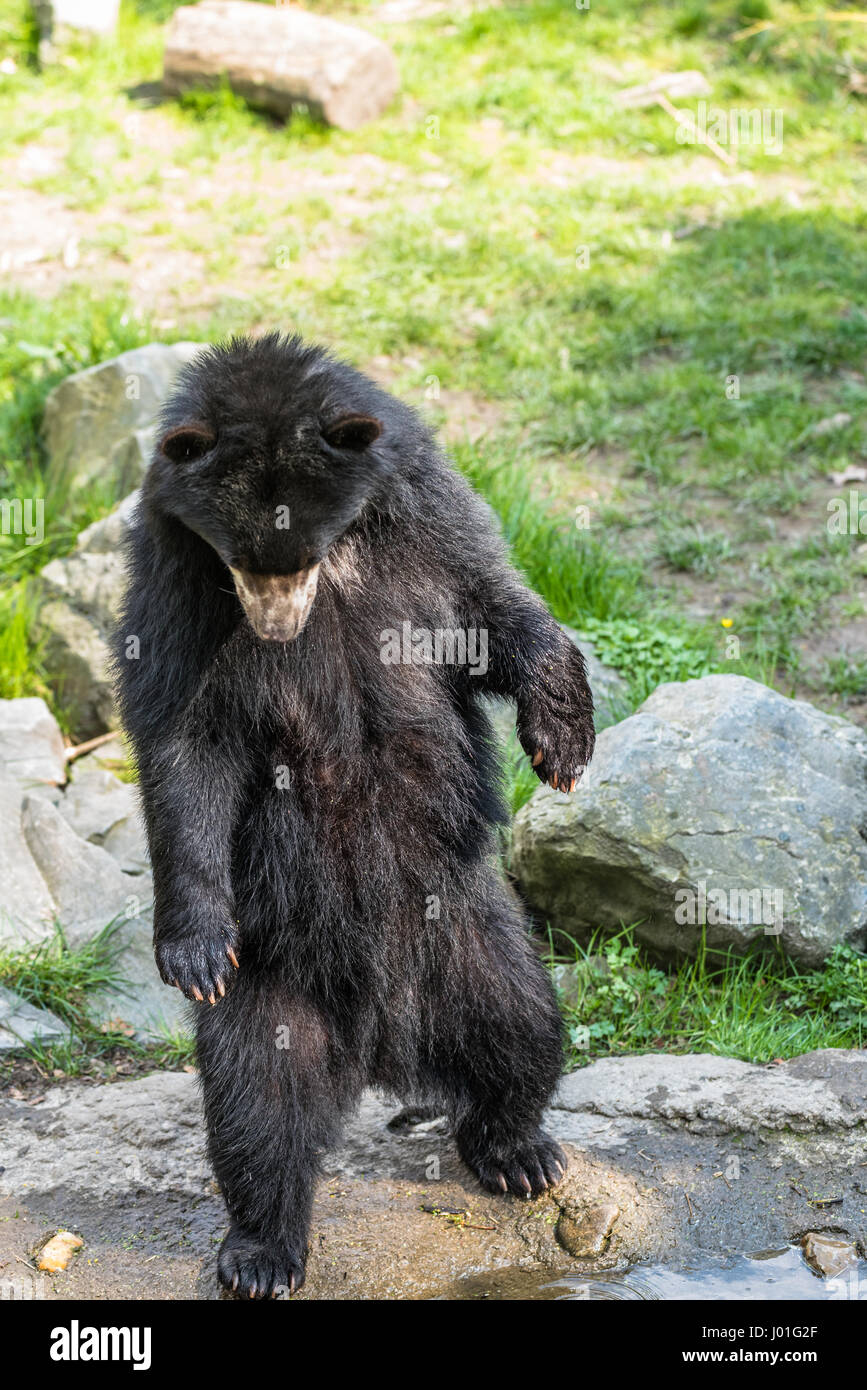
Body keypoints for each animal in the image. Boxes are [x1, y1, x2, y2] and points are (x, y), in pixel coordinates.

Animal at [115, 330, 594, 1295]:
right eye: (240, 555)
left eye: (300, 553)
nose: (275, 627)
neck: (343, 559)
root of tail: (384, 1039)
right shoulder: (175, 578)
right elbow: (184, 742)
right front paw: (190, 947)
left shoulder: (424, 526)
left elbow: (493, 609)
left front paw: (564, 739)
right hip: (273, 973)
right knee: (257, 1103)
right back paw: (261, 1249)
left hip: (471, 928)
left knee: (522, 1026)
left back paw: (519, 1150)